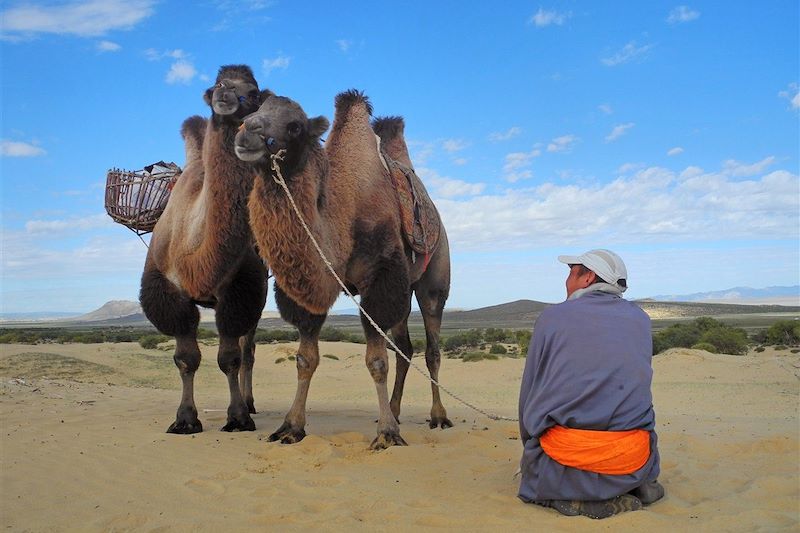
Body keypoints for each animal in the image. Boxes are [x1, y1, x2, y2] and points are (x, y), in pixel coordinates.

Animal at [141, 65, 272, 432]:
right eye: (218, 84)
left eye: (253, 92)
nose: (226, 95)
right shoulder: (169, 291)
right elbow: (186, 359)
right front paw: (185, 419)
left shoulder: (241, 289)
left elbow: (229, 358)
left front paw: (238, 416)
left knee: (247, 349)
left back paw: (250, 402)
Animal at [234, 91, 454, 448]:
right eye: (250, 114)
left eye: (295, 125)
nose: (246, 134)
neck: (343, 216)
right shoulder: (317, 285)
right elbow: (305, 359)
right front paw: (291, 426)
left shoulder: (379, 280)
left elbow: (376, 360)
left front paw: (386, 435)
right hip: (403, 288)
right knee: (405, 348)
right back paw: (393, 411)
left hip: (433, 278)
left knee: (432, 348)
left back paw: (437, 417)